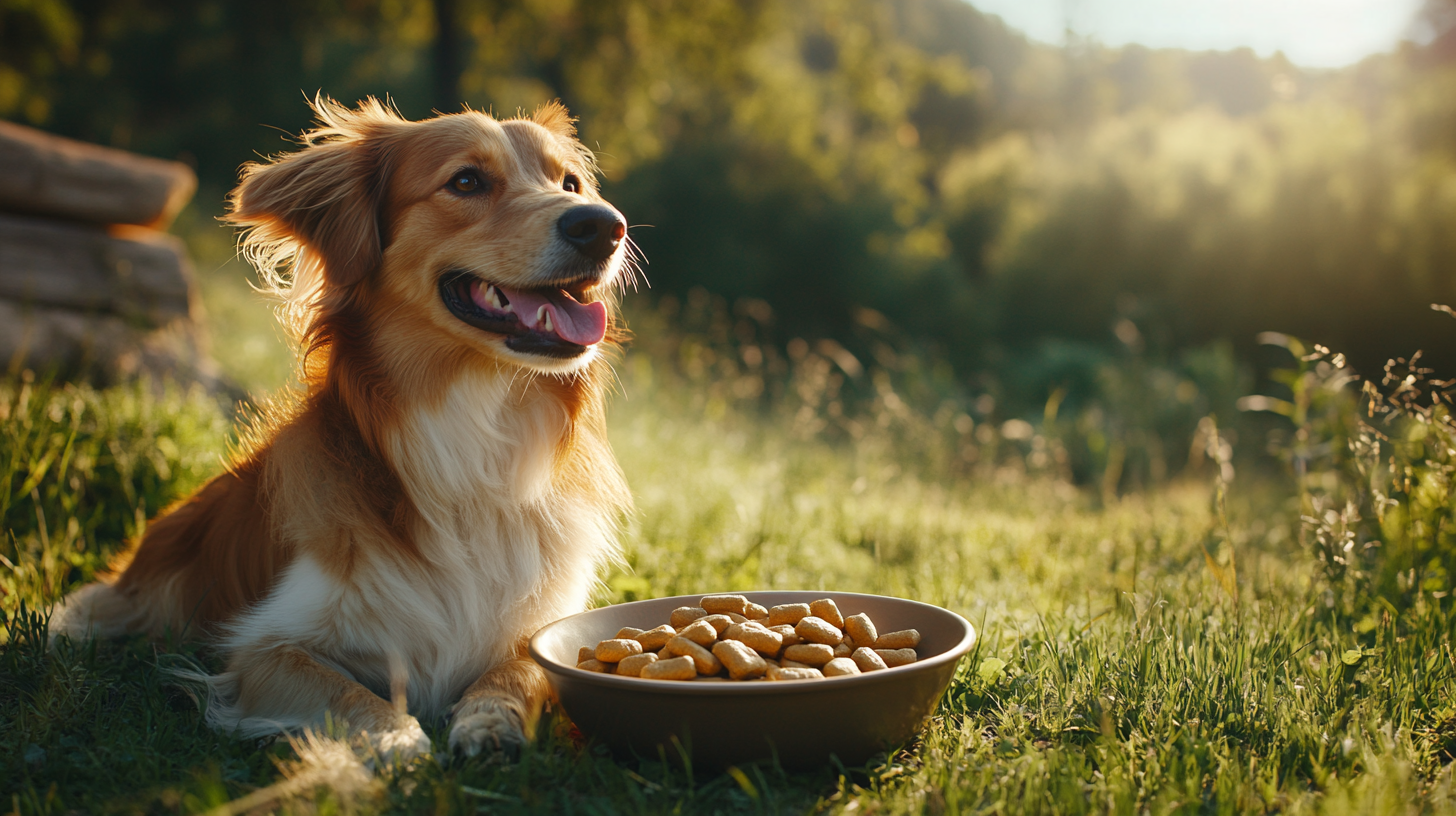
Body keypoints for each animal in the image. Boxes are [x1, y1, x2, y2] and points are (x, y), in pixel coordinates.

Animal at [52, 99, 631, 763]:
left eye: (571, 184)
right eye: (466, 181)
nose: (604, 226)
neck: (474, 429)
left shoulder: (536, 627)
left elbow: (522, 668)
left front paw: (490, 719)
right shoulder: (263, 650)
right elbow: (353, 694)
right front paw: (400, 744)